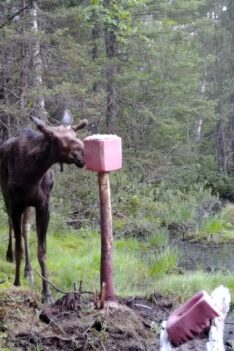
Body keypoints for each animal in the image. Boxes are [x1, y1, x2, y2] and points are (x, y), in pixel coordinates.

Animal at [0, 111, 88, 304]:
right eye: (54, 138)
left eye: (74, 134)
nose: (81, 153)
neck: (33, 174)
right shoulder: (16, 204)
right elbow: (19, 248)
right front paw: (17, 284)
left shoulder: (43, 206)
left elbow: (42, 251)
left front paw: (46, 293)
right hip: (7, 197)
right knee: (10, 224)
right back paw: (9, 255)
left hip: (28, 206)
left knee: (25, 230)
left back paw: (28, 271)